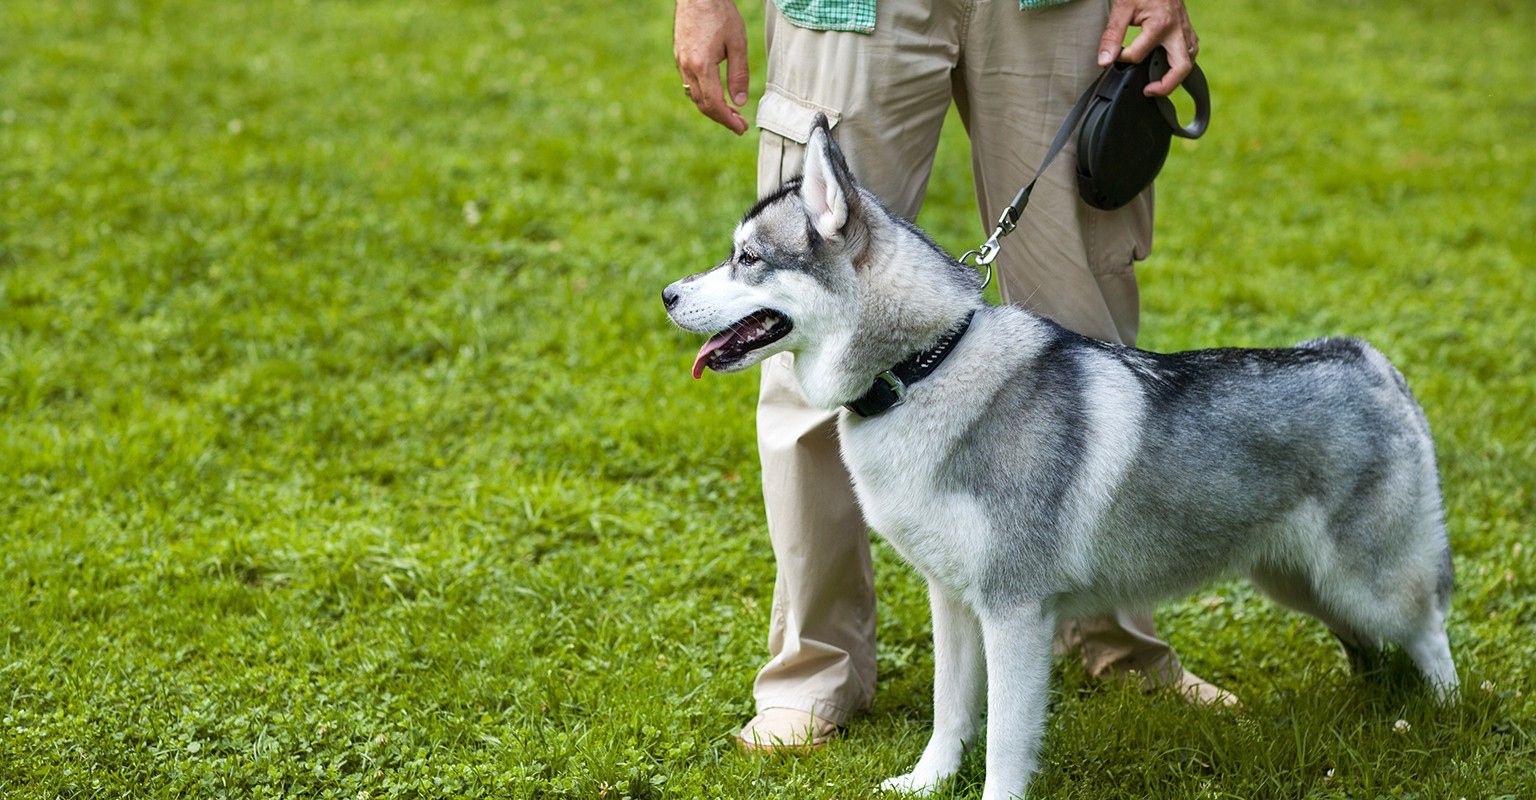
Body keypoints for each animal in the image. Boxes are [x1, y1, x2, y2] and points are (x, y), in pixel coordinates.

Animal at [657, 113, 1449, 798]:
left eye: (748, 259)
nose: (665, 294)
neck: (924, 368)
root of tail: (1368, 358)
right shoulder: (953, 599)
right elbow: (950, 711)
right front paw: (927, 782)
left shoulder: (1015, 613)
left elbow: (1007, 741)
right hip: (1297, 580)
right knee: (1375, 643)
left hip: (1367, 583)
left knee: (1432, 635)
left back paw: (1444, 721)